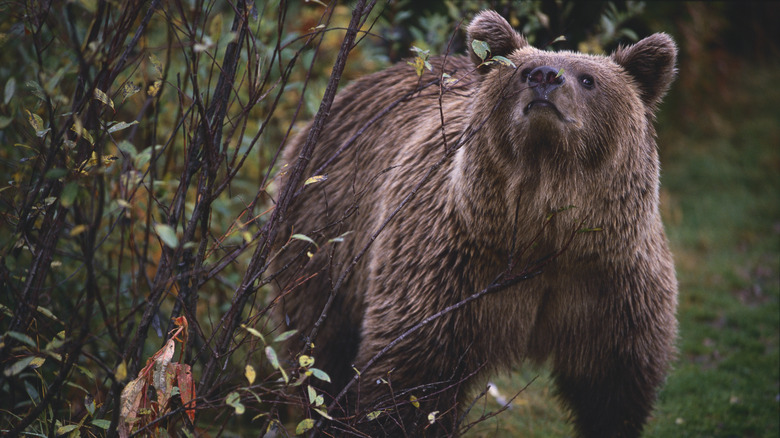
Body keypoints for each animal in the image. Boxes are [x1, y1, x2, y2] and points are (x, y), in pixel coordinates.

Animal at [274, 10, 676, 438]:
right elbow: (412, 379)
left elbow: (615, 386)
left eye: (588, 79)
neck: (542, 232)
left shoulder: (610, 284)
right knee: (320, 345)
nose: (545, 77)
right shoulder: (452, 270)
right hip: (325, 232)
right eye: (521, 71)